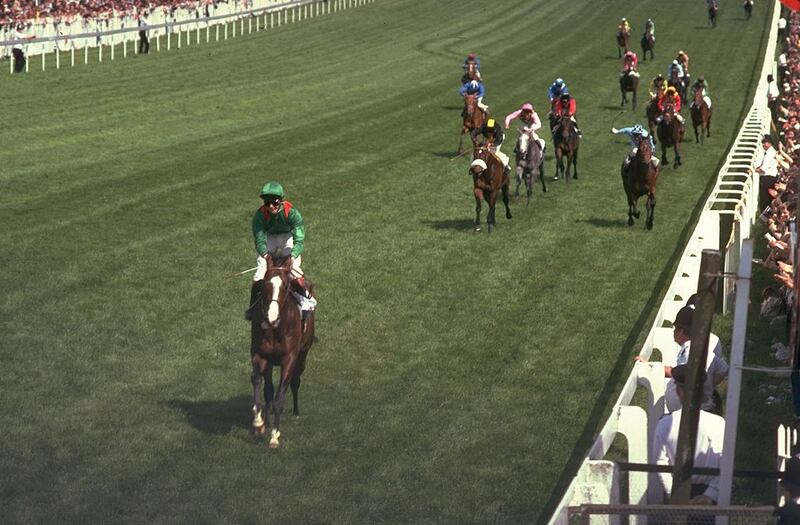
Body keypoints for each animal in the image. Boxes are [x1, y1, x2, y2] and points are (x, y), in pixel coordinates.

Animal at [250, 254, 316, 446]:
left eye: (286, 286)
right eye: (265, 284)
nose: (271, 316)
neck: (275, 328)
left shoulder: (289, 357)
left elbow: (280, 397)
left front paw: (274, 436)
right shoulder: (259, 353)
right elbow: (257, 381)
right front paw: (259, 424)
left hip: (303, 354)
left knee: (295, 381)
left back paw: (295, 410)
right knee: (268, 390)